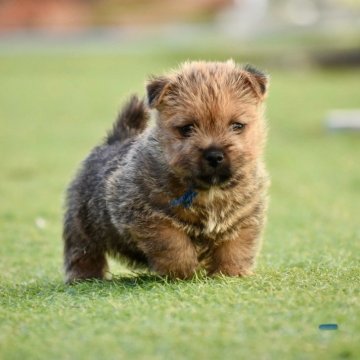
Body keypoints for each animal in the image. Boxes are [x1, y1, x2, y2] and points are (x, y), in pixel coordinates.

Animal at [62, 60, 270, 282]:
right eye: (187, 128)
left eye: (237, 126)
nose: (214, 155)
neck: (209, 190)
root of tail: (116, 139)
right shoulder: (150, 215)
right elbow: (173, 244)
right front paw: (181, 272)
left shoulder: (245, 218)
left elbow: (235, 248)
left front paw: (230, 274)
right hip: (81, 224)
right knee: (83, 252)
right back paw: (84, 277)